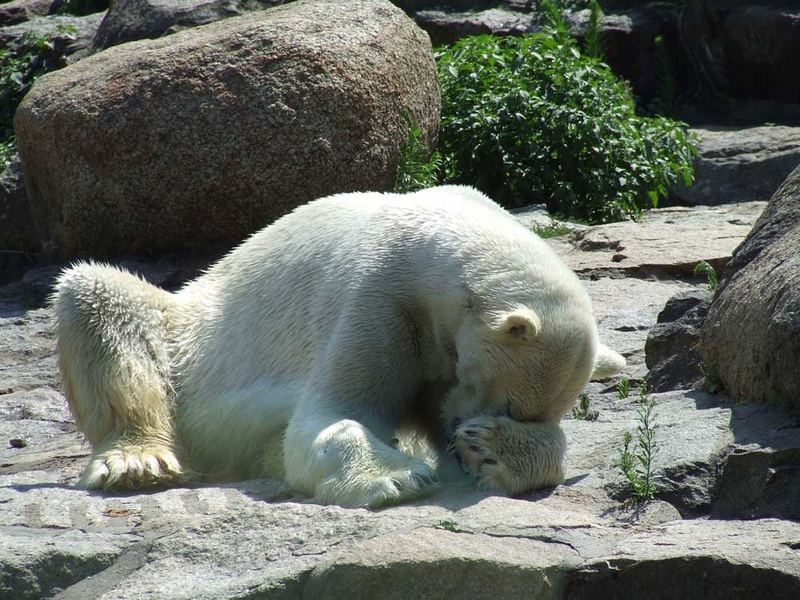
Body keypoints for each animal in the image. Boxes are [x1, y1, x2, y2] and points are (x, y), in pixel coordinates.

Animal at [56, 186, 628, 506]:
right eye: (508, 401)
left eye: (535, 415)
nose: (462, 432)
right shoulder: (379, 295)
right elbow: (333, 411)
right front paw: (399, 477)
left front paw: (491, 451)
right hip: (186, 332)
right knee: (97, 295)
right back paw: (136, 461)